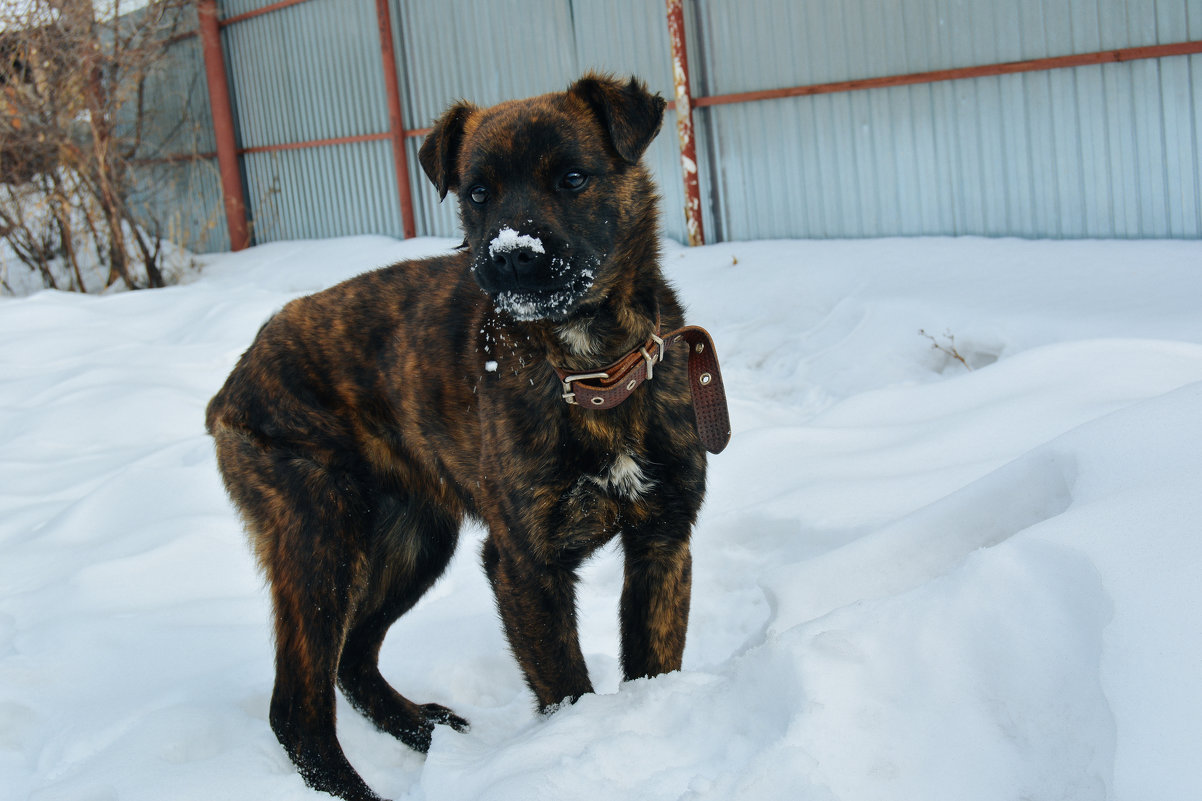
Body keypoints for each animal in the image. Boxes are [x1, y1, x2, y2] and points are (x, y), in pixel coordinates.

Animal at [206, 74, 721, 798]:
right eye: (478, 193)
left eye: (572, 178)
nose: (512, 258)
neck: (588, 367)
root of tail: (236, 378)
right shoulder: (524, 564)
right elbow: (567, 685)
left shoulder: (662, 542)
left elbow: (653, 665)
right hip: (320, 538)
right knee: (298, 709)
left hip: (414, 538)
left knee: (353, 658)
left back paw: (427, 732)